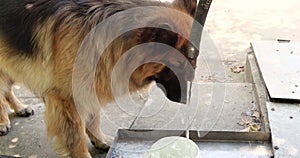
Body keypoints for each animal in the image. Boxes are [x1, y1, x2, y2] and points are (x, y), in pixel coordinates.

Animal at [0, 0, 198, 157]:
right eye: (178, 65)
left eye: (194, 61)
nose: (188, 99)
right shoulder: (67, 99)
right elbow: (77, 137)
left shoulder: (89, 86)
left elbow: (94, 120)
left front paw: (100, 140)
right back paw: (3, 121)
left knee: (6, 91)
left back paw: (20, 107)